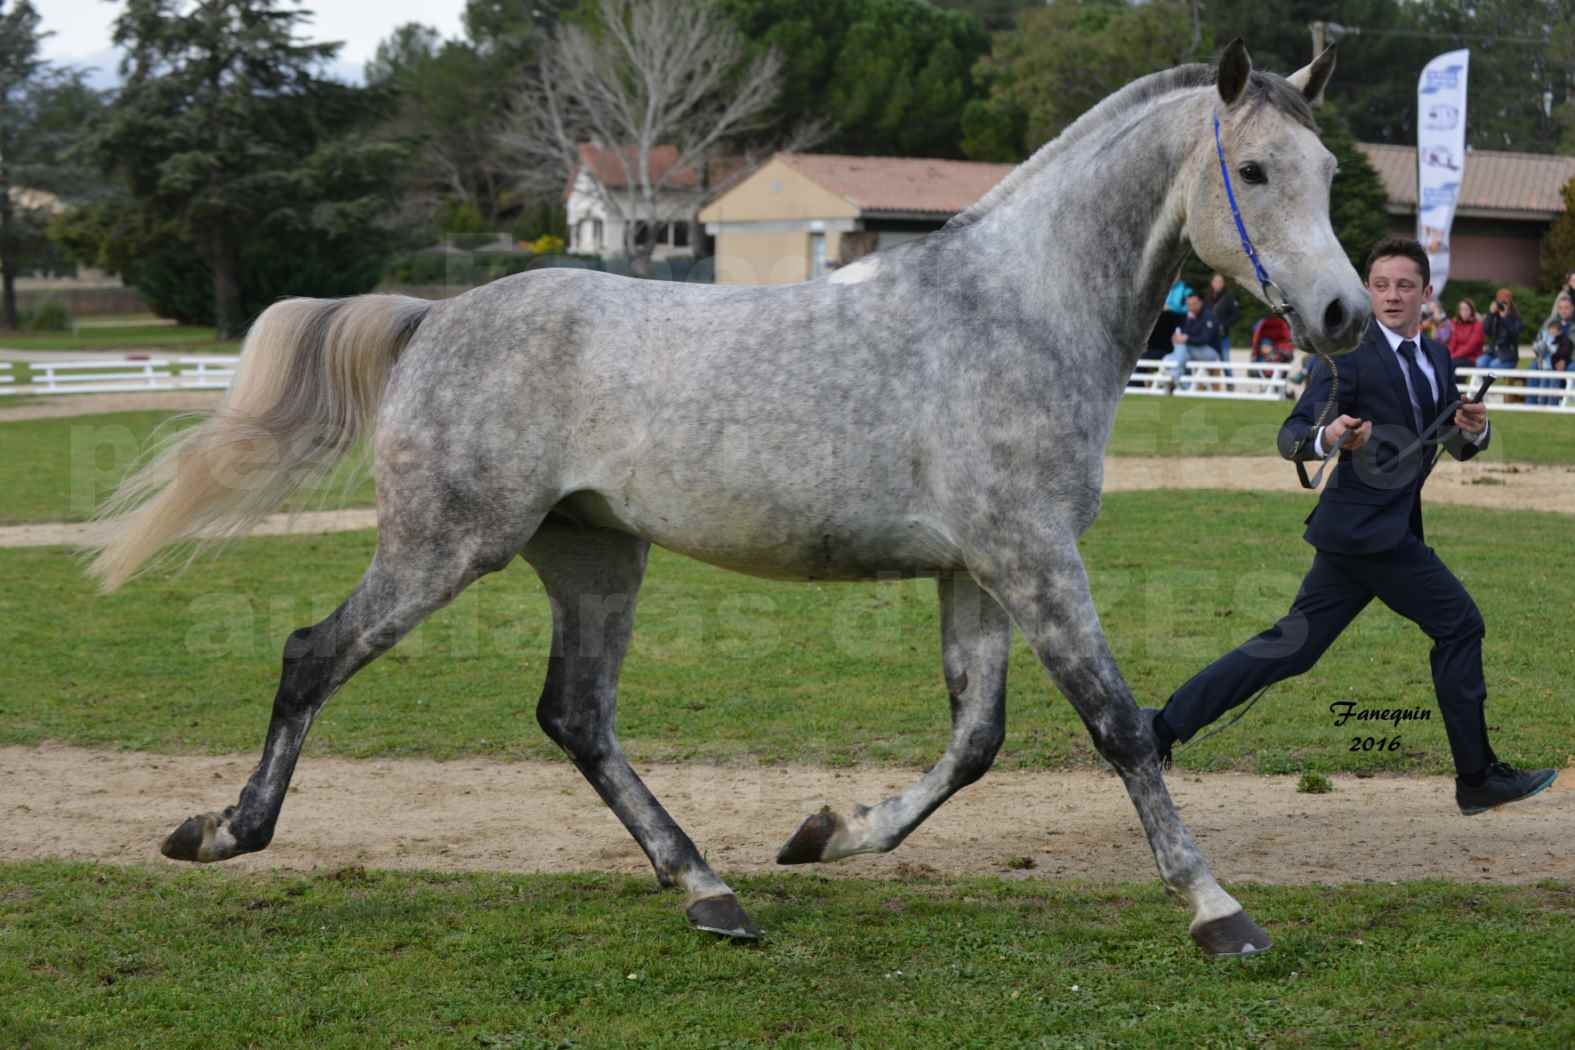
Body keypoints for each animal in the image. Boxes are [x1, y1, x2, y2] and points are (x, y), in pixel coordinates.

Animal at [86, 43, 1367, 963]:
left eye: (1329, 176)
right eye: (1256, 173)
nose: (1347, 315)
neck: (1011, 311)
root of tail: (434, 317)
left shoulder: (981, 570)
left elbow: (976, 742)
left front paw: (827, 835)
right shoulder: (1032, 558)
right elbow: (1117, 726)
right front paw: (1218, 910)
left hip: (594, 559)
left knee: (576, 717)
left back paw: (711, 890)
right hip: (446, 547)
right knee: (314, 656)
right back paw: (221, 833)